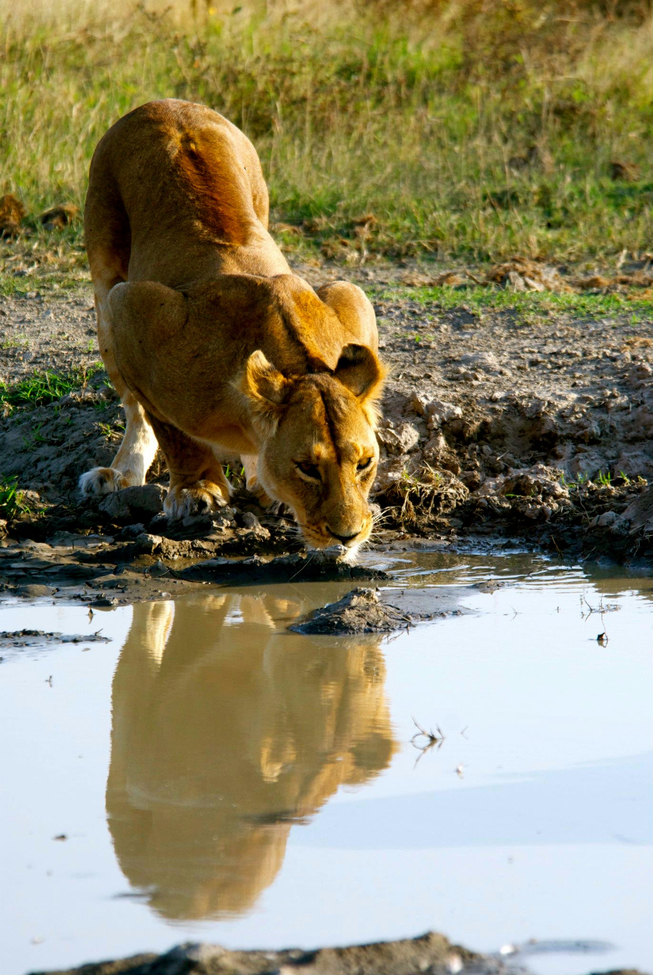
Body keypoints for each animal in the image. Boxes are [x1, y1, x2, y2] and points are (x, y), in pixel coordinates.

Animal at [80, 99, 386, 555]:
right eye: (307, 467)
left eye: (364, 463)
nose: (348, 536)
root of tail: (164, 103)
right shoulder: (134, 309)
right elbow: (171, 429)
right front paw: (196, 491)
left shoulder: (351, 296)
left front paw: (259, 484)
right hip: (104, 281)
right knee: (135, 409)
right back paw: (118, 474)